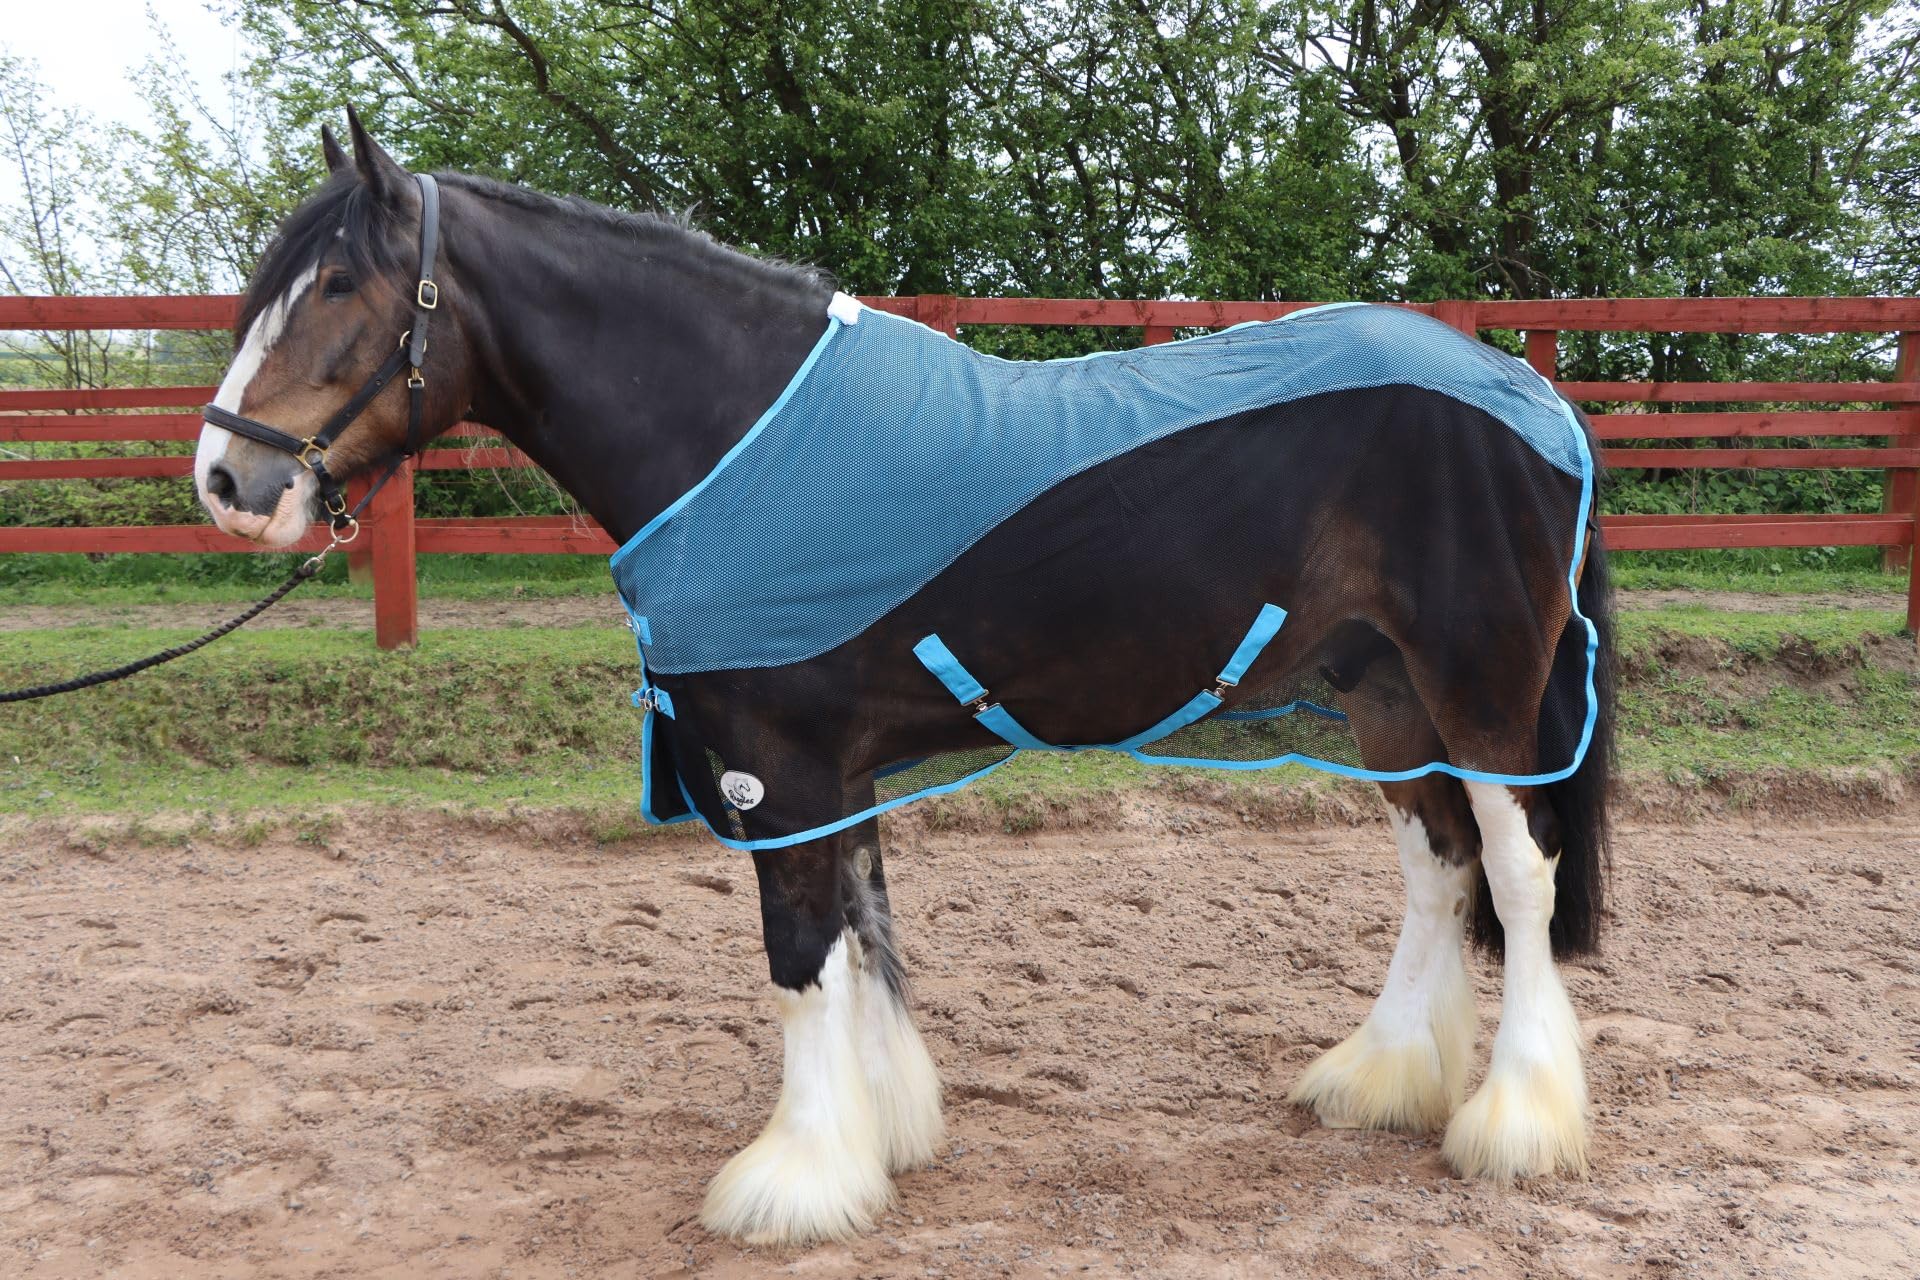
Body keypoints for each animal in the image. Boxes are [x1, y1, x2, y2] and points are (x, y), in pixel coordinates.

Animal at [194, 112, 1614, 1247]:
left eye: (335, 283)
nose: (225, 480)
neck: (746, 442)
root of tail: (1529, 389)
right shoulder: (838, 765)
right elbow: (864, 934)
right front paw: (882, 1131)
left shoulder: (776, 768)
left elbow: (801, 951)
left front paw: (797, 1175)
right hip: (1386, 698)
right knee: (1437, 865)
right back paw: (1383, 1078)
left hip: (1480, 691)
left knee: (1517, 871)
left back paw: (1516, 1119)